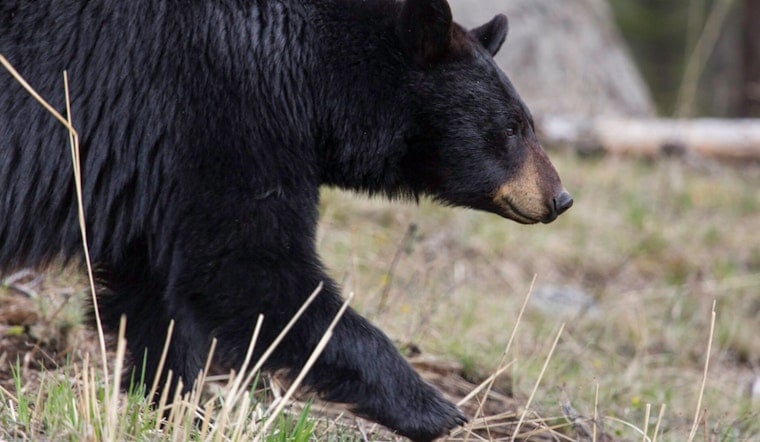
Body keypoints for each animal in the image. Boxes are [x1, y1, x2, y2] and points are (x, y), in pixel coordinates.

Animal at [0, 0, 572, 440]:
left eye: (528, 122)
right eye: (512, 127)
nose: (560, 198)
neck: (311, 71)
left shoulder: (156, 176)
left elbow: (150, 297)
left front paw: (180, 409)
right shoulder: (224, 115)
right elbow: (251, 272)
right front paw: (435, 409)